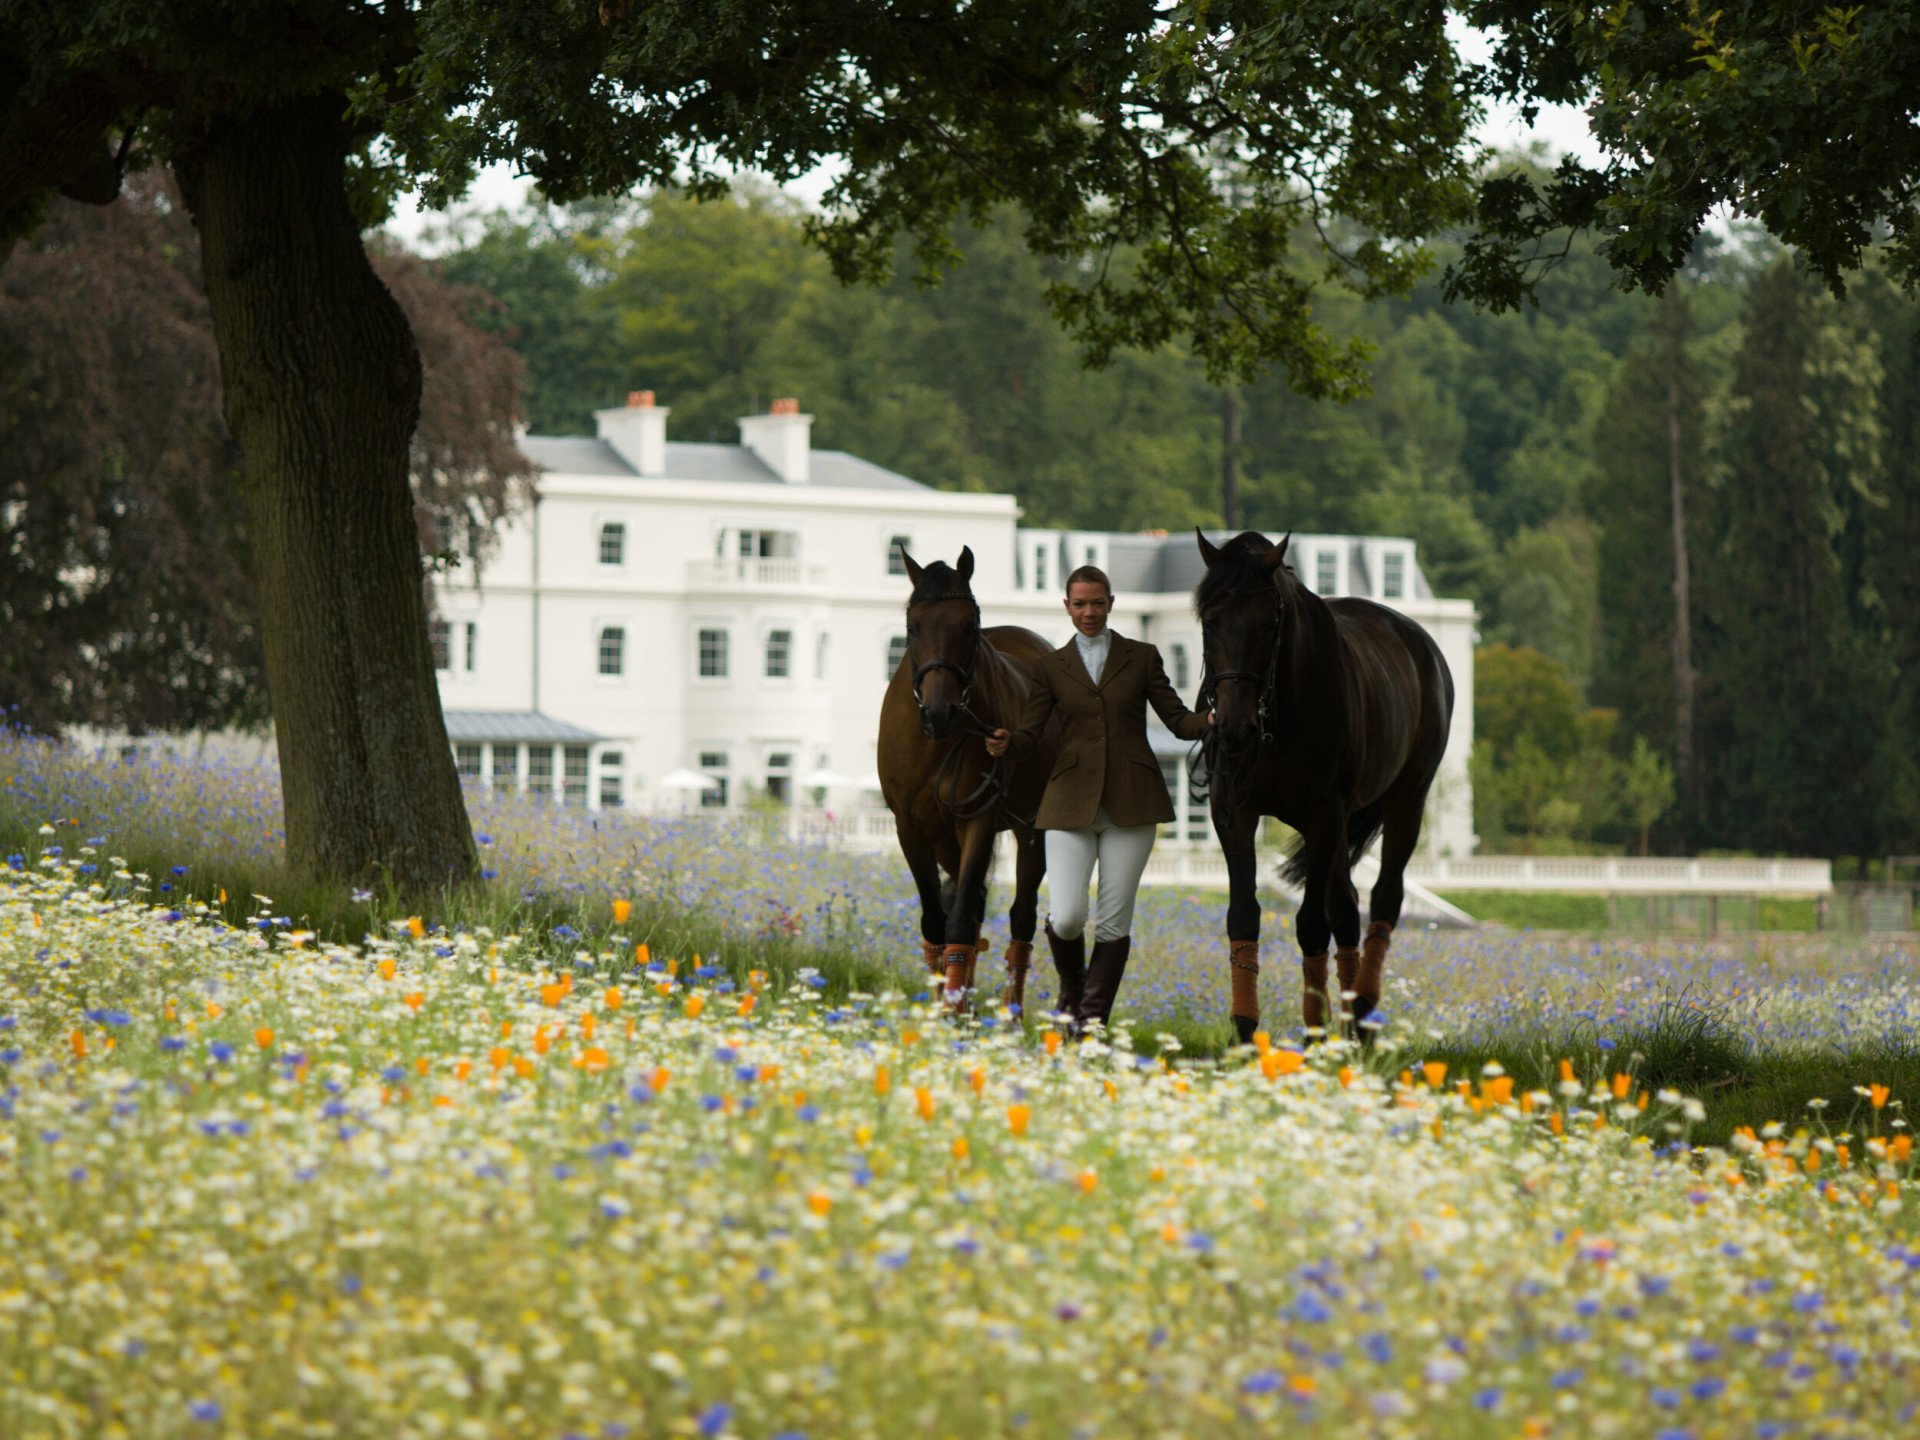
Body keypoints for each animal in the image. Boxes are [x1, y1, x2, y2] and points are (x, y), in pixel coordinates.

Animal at [877, 545, 1057, 1011]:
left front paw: (955, 1009)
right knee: (971, 905)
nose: (940, 714)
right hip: (945, 838)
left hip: (1032, 829)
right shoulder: (910, 828)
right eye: (913, 627)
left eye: (970, 626)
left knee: (1020, 918)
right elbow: (937, 921)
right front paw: (948, 1003)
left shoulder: (979, 818)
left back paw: (1011, 1014)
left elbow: (957, 922)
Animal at [1192, 529, 1454, 1044]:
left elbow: (1312, 923)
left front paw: (1315, 1028)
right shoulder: (1232, 810)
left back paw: (1364, 1010)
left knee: (1382, 898)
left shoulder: (1324, 814)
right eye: (1211, 621)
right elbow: (1243, 913)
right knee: (1347, 906)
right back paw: (1352, 1016)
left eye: (1269, 623)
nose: (1233, 729)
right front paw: (1244, 1029)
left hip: (1406, 800)